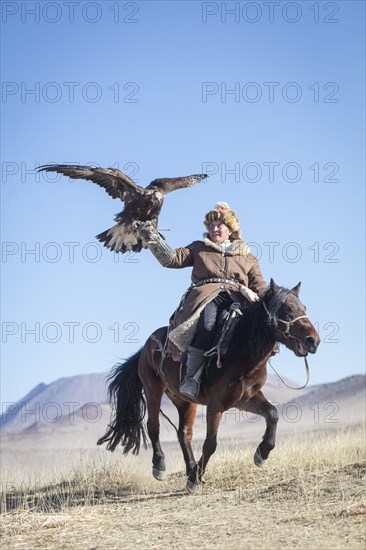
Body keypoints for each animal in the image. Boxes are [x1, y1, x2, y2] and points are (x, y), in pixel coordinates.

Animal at [97, 282, 320, 494]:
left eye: (303, 307)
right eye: (286, 309)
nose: (313, 341)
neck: (241, 350)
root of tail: (146, 348)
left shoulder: (245, 399)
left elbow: (273, 414)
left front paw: (262, 454)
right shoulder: (217, 404)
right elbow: (211, 443)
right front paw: (194, 482)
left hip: (185, 400)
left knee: (184, 433)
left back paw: (191, 469)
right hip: (153, 389)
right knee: (154, 427)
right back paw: (160, 465)